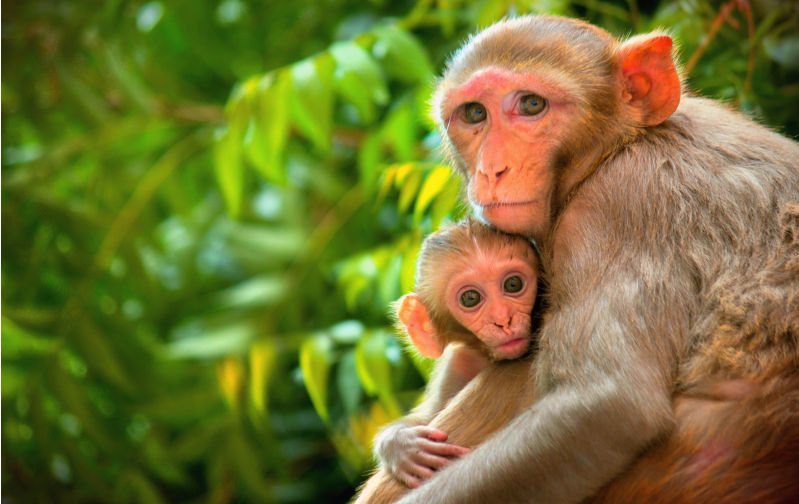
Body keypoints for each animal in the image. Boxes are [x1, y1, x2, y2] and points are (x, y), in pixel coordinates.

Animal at [379, 15, 799, 504]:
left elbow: (609, 406)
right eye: (474, 114)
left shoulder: (615, 210)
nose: (492, 169)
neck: (622, 144)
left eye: (531, 104)